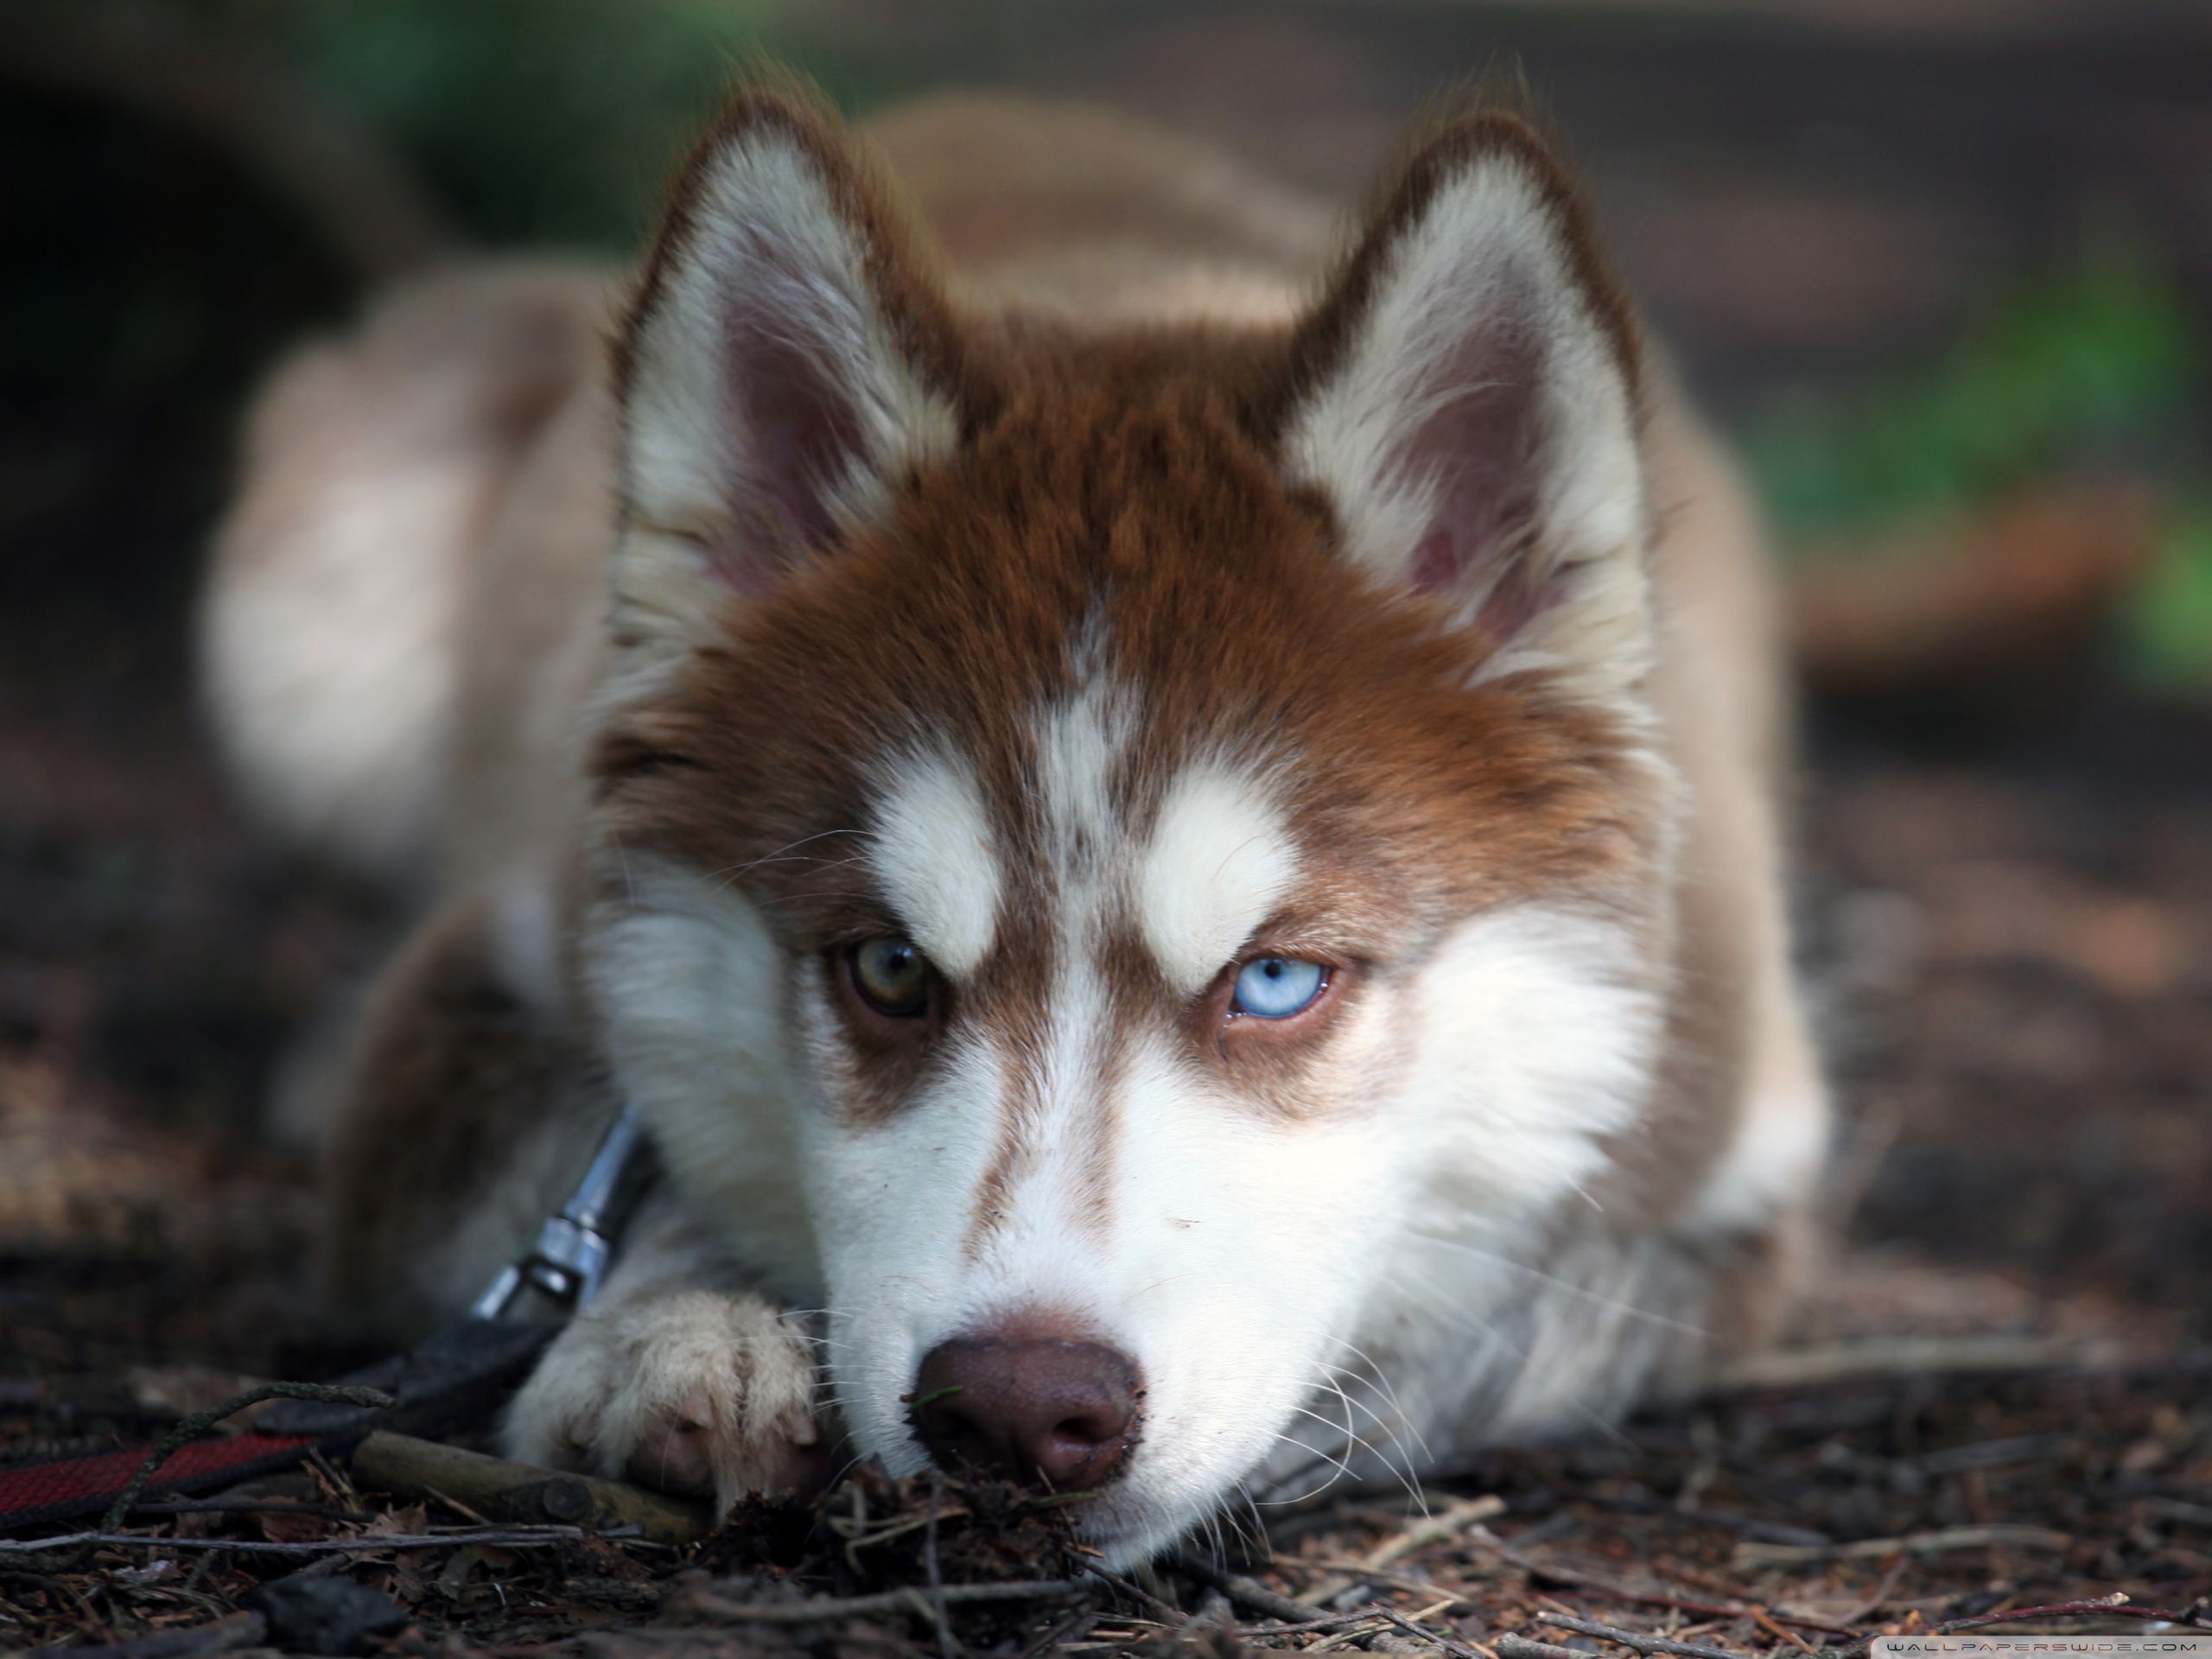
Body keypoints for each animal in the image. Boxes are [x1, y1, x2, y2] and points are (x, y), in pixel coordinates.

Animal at [207, 84, 1822, 1566]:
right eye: (887, 968)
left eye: (1277, 980)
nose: (1019, 1411)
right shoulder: (491, 993)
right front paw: (676, 1329)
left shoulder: (1735, 1152)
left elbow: (1532, 1307)